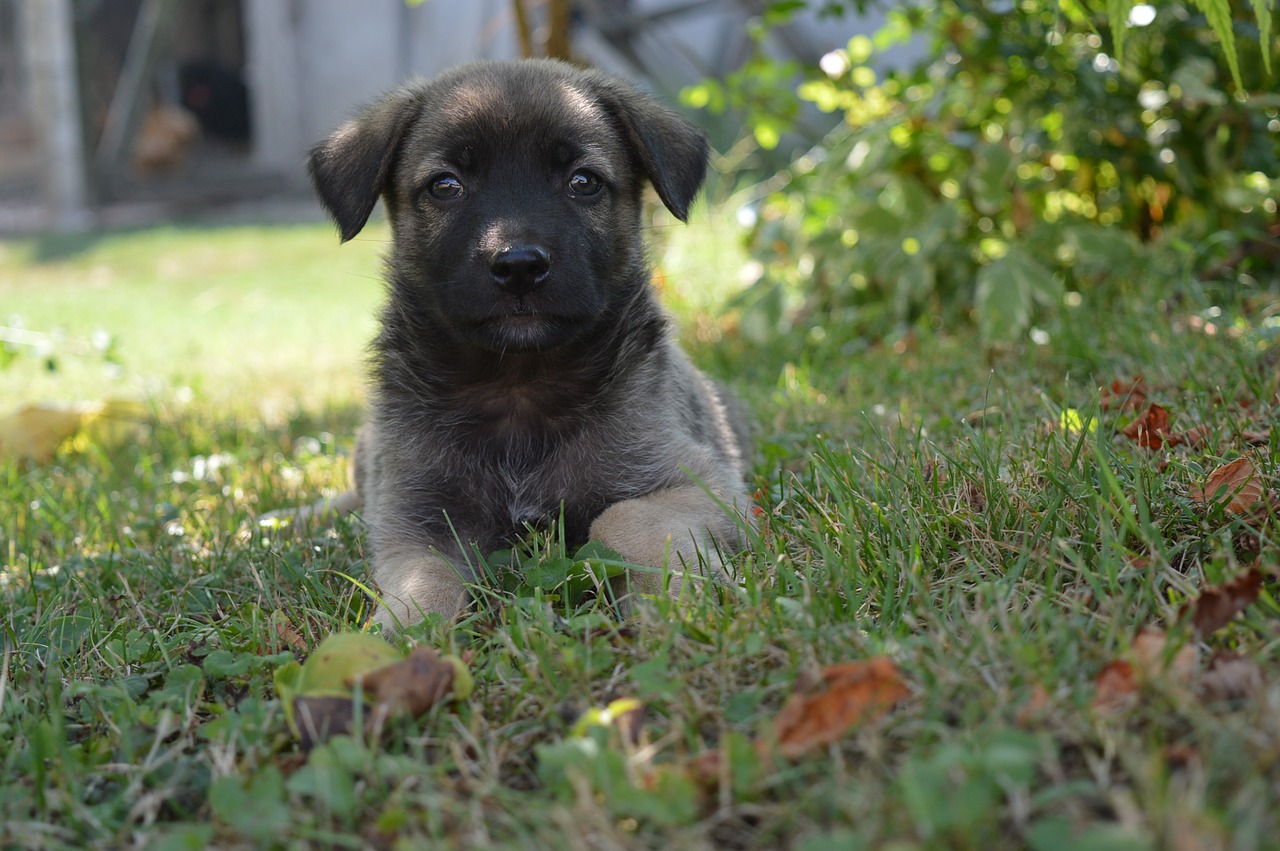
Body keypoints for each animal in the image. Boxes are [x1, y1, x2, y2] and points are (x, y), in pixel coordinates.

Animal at [296, 59, 747, 627]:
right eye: (446, 185)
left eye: (583, 182)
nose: (518, 266)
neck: (518, 382)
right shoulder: (413, 526)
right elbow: (423, 582)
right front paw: (397, 636)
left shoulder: (700, 485)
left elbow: (621, 517)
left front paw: (677, 601)